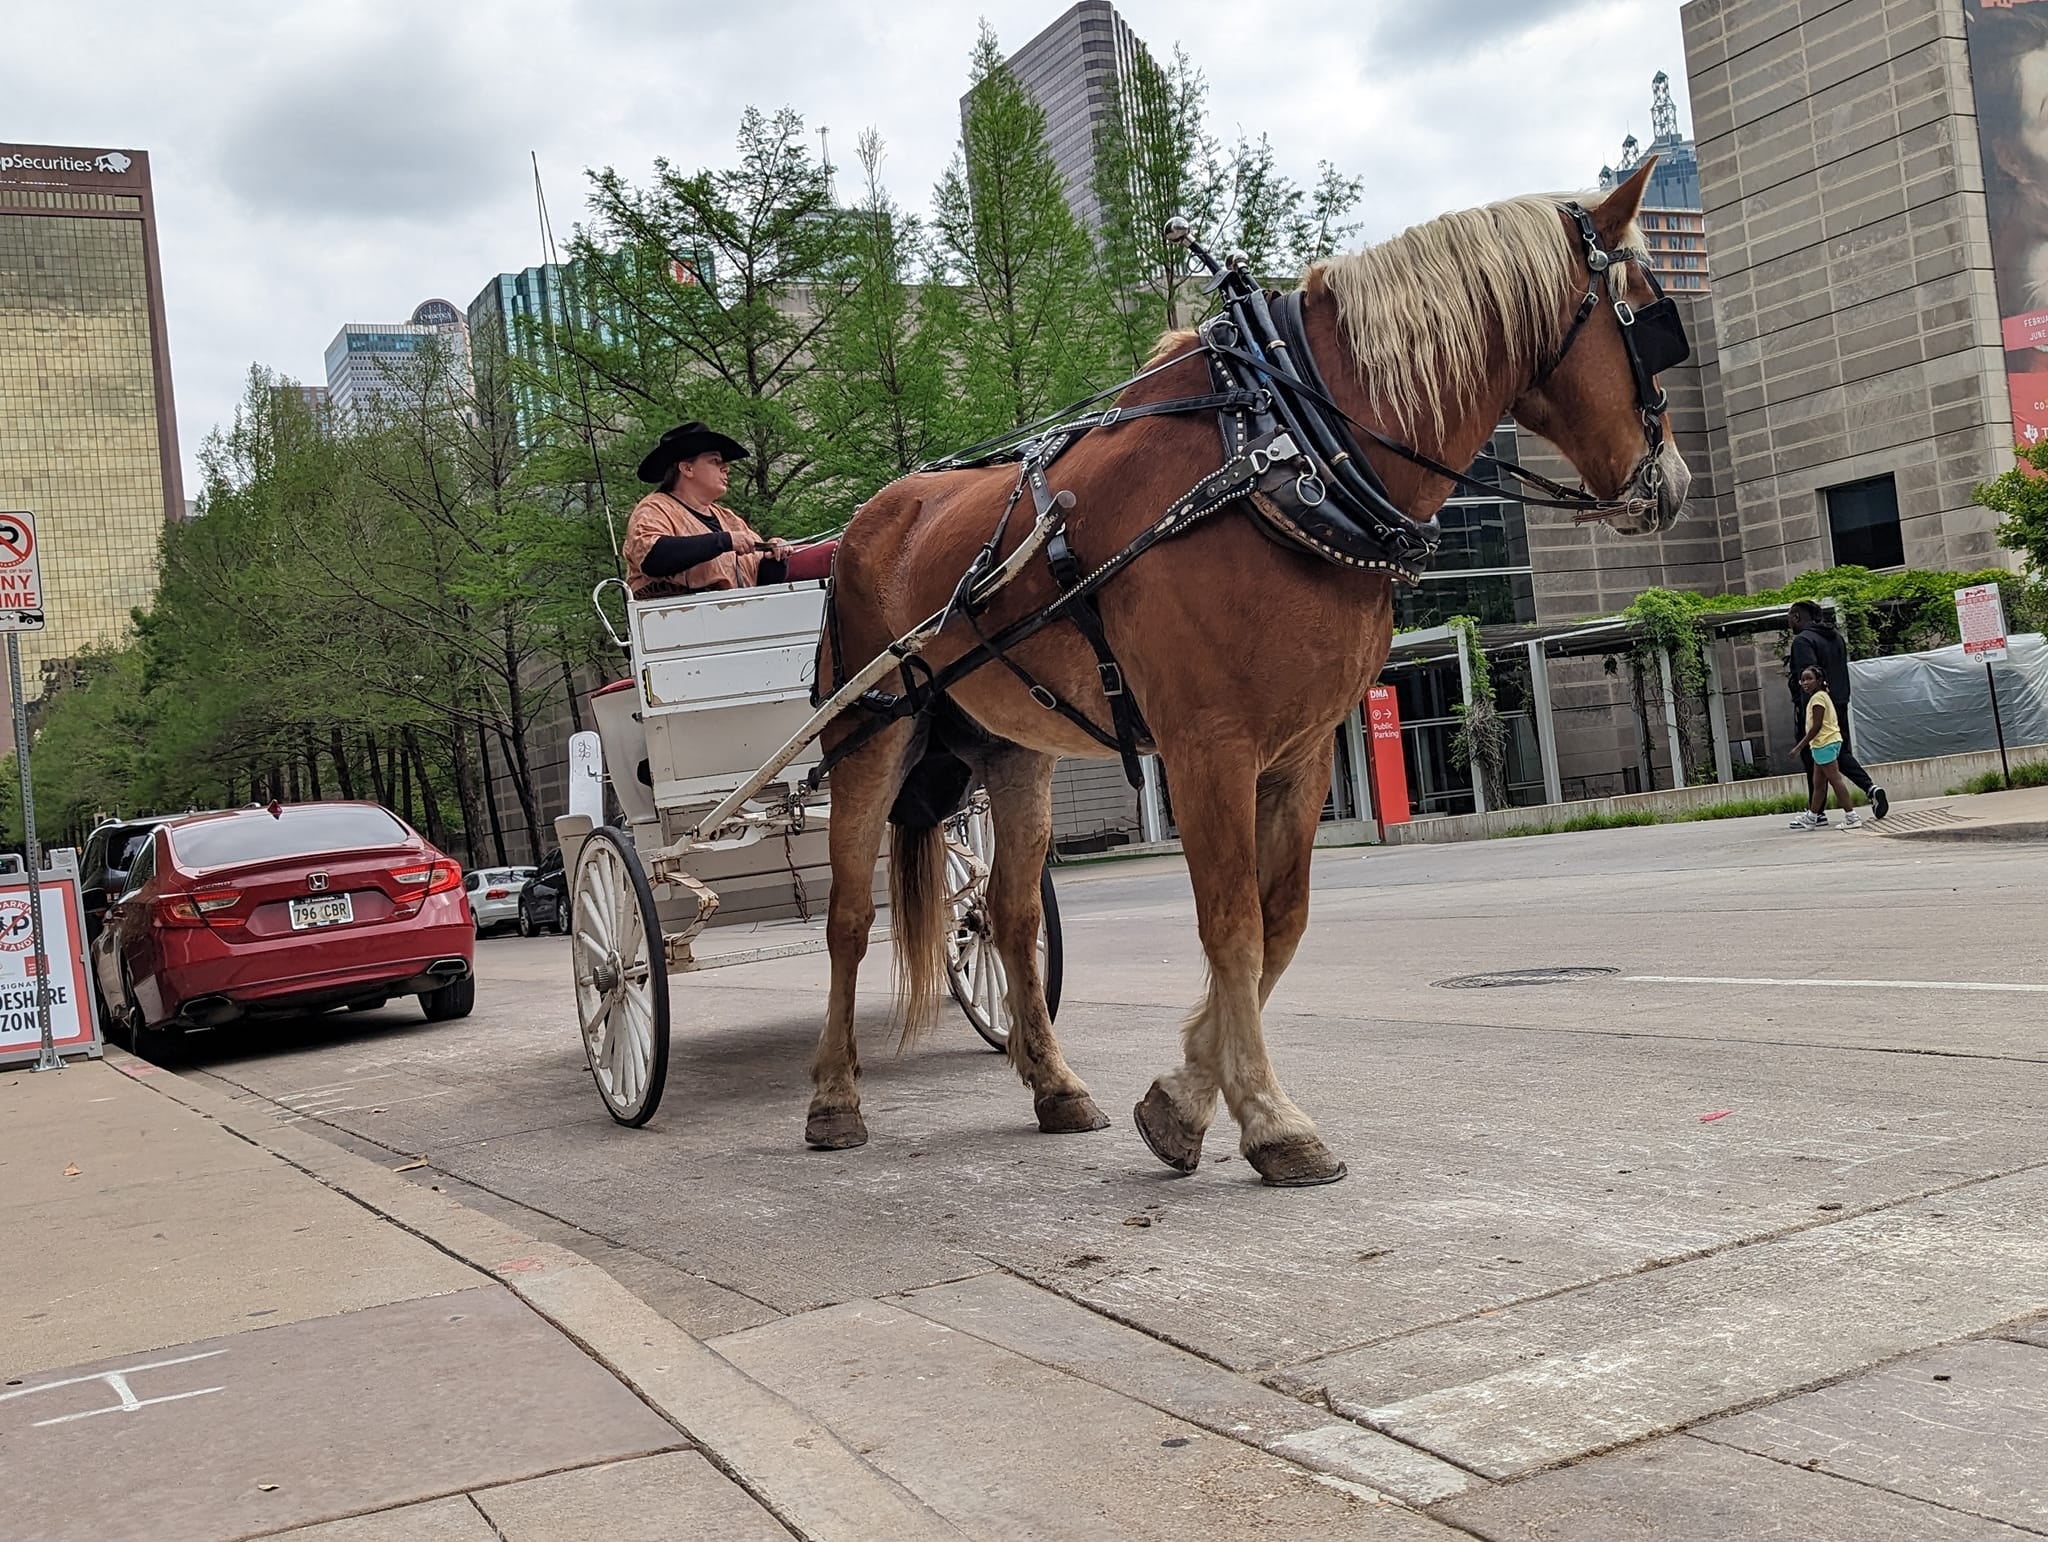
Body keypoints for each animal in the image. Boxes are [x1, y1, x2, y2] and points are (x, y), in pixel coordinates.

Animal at [798, 162, 1679, 1187]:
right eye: (1652, 316)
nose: (1672, 482)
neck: (1284, 455)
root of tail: (867, 521)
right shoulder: (1206, 750)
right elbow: (1233, 928)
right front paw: (1267, 1119)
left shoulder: (1300, 752)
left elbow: (1278, 924)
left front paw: (1184, 1096)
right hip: (870, 736)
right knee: (849, 919)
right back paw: (834, 1098)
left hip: (1015, 752)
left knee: (1010, 917)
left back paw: (1053, 1083)